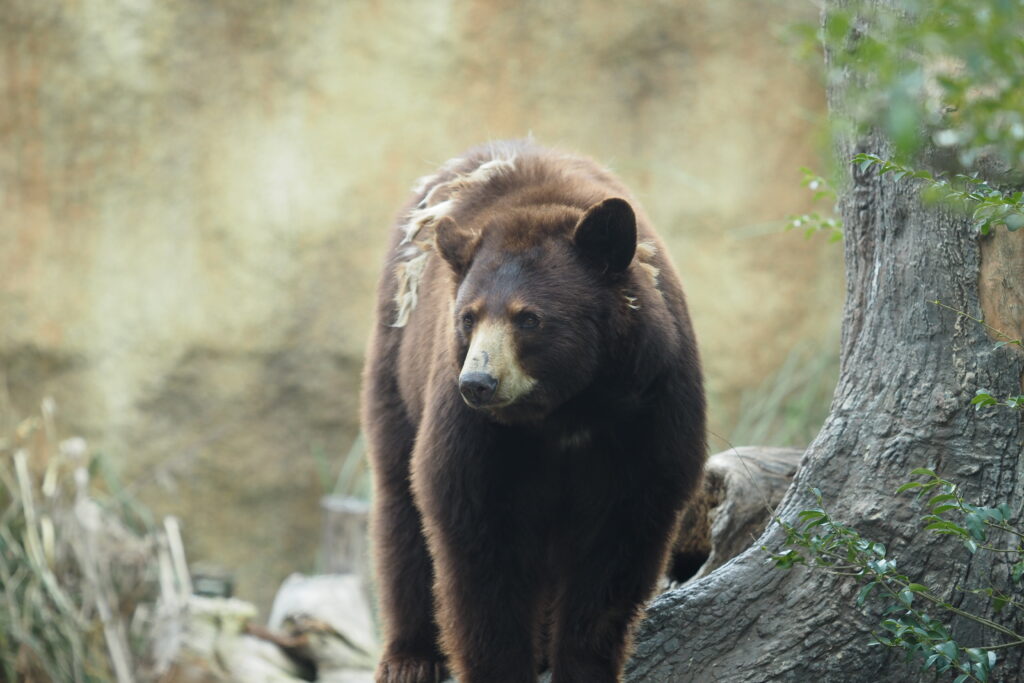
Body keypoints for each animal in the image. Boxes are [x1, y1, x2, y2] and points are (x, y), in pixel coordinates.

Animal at [360, 140, 704, 683]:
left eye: (529, 319)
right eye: (467, 317)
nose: (477, 384)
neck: (567, 408)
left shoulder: (651, 405)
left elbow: (617, 549)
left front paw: (582, 664)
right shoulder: (474, 432)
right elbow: (477, 539)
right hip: (396, 361)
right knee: (399, 495)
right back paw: (409, 658)